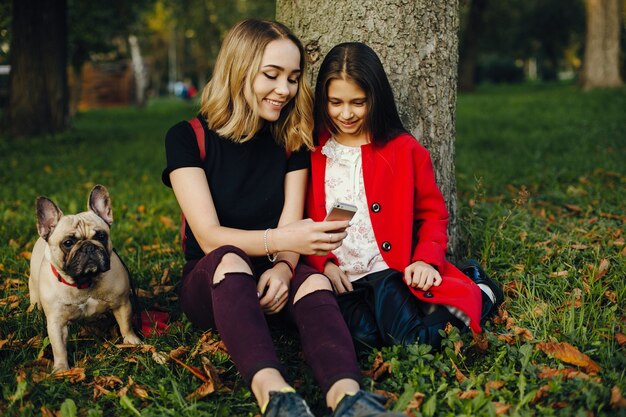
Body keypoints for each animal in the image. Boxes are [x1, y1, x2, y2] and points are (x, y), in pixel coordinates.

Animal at [29, 184, 140, 368]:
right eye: (68, 243)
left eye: (101, 236)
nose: (88, 247)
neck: (85, 282)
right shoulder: (56, 322)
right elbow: (58, 348)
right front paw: (61, 369)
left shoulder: (122, 304)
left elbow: (126, 324)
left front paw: (132, 341)